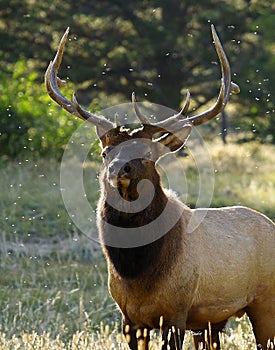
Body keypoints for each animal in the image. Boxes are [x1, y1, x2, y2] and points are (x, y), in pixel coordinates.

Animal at [45, 26, 275, 348]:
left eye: (147, 153)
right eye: (105, 152)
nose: (119, 169)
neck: (136, 275)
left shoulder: (176, 312)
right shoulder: (128, 318)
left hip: (265, 301)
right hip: (212, 321)